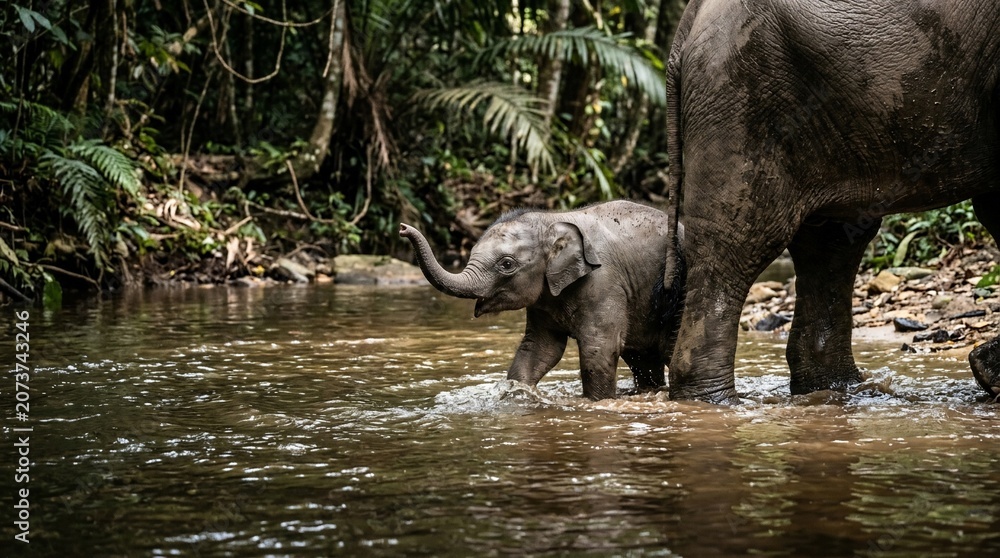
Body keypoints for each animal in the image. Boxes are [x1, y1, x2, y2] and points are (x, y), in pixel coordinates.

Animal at [399, 200, 684, 400]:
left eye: (506, 264)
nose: (402, 228)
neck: (554, 219)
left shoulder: (605, 283)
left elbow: (599, 349)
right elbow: (540, 348)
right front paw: (518, 393)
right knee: (643, 360)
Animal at [662, 0, 1000, 403]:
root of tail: (689, 19)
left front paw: (989, 372)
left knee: (832, 244)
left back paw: (842, 391)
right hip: (738, 99)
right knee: (738, 244)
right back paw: (716, 403)